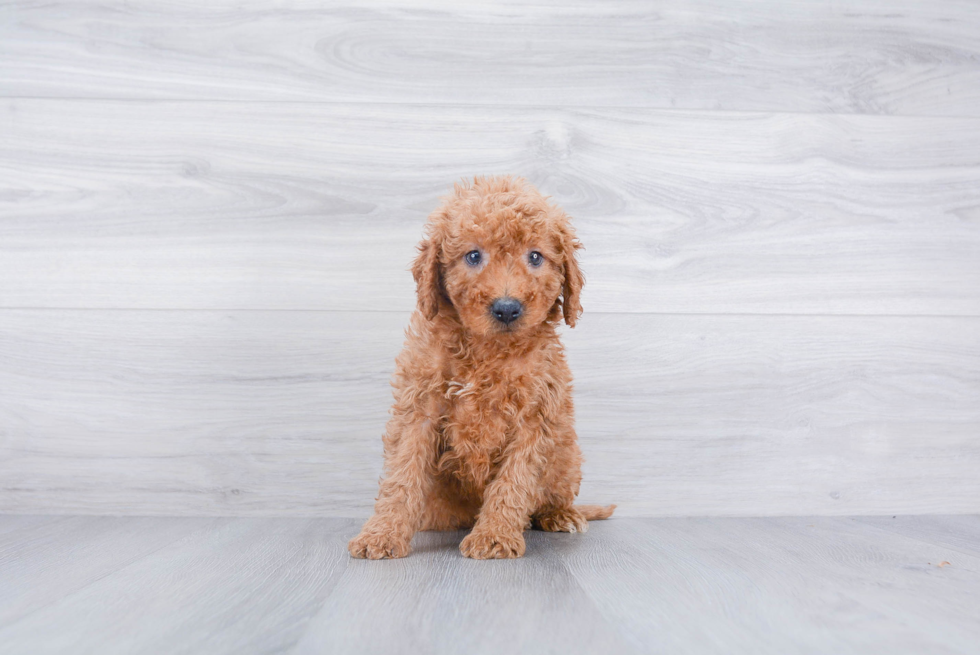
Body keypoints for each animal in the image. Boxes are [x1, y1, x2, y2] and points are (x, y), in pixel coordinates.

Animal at [350, 177, 612, 560]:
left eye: (535, 256)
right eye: (473, 256)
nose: (506, 308)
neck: (488, 349)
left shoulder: (535, 416)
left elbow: (513, 481)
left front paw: (494, 535)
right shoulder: (419, 405)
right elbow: (403, 473)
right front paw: (382, 533)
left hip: (567, 457)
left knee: (552, 496)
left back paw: (560, 514)